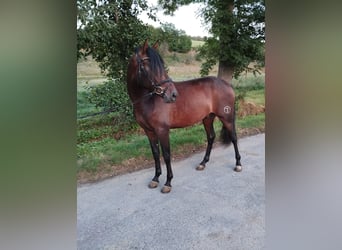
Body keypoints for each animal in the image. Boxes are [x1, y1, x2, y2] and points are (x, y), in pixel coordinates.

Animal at [127, 40, 242, 193]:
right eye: (148, 66)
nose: (172, 94)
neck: (148, 100)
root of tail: (227, 84)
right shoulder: (149, 131)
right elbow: (156, 154)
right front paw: (155, 179)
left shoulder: (162, 130)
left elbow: (167, 155)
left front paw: (168, 182)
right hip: (208, 118)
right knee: (211, 137)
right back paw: (203, 163)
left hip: (226, 117)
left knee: (234, 137)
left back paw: (238, 164)